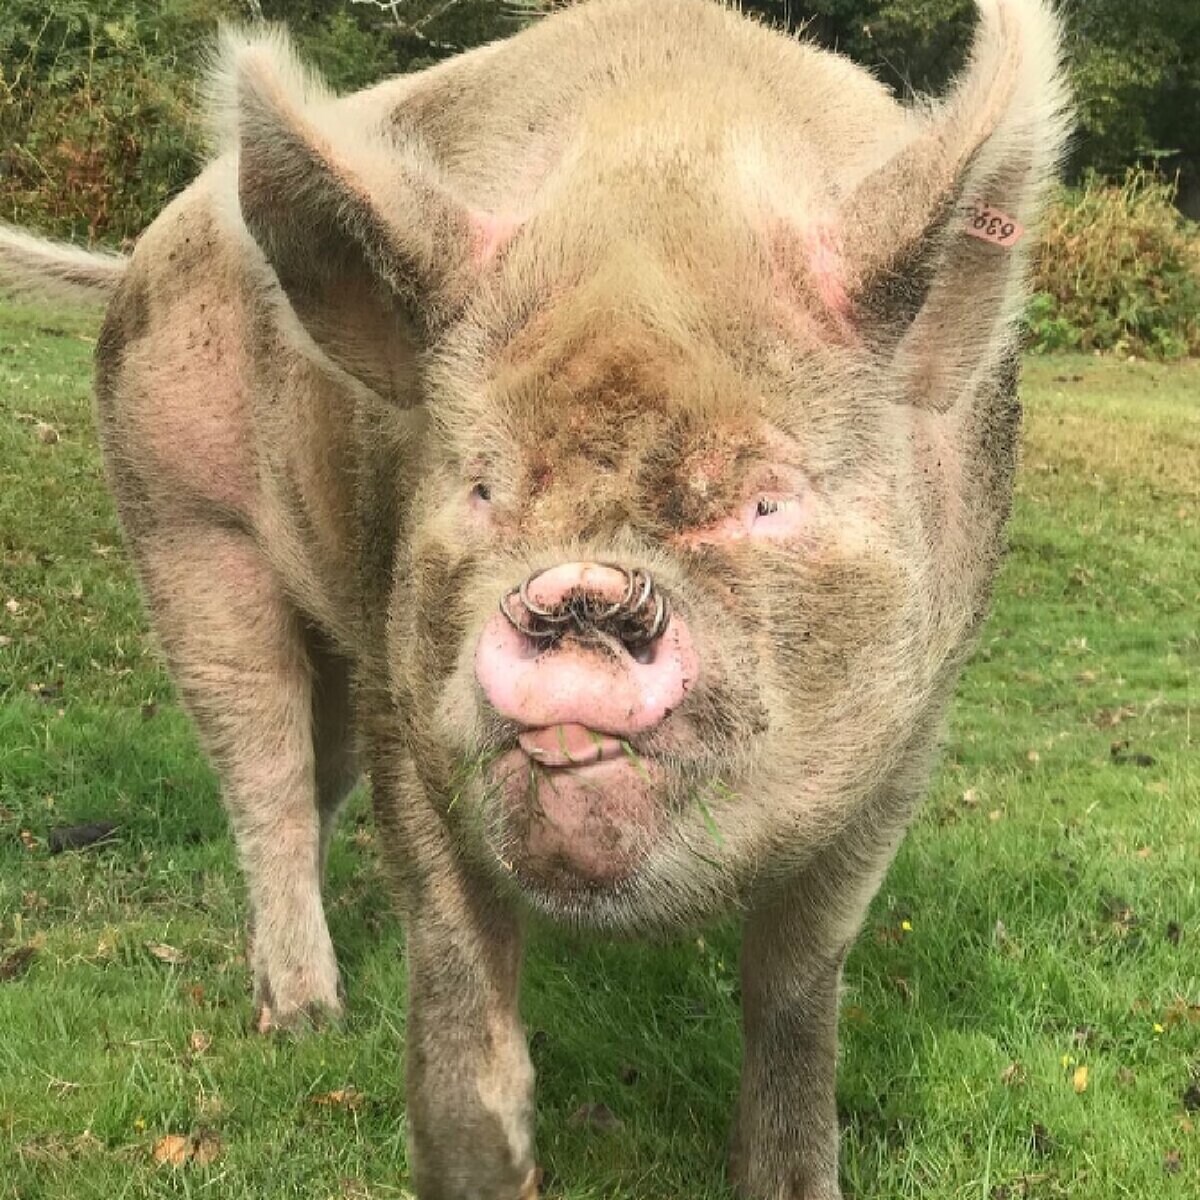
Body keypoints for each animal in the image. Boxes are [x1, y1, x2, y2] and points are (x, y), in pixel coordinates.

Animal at [0, 4, 1070, 1195]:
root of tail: (146, 246)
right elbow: (456, 961)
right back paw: (307, 1020)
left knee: (313, 778)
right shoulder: (406, 692)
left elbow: (798, 978)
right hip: (183, 518)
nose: (578, 593)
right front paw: (479, 1161)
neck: (661, 165)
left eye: (764, 498)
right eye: (481, 487)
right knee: (262, 767)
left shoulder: (911, 727)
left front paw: (793, 1179)